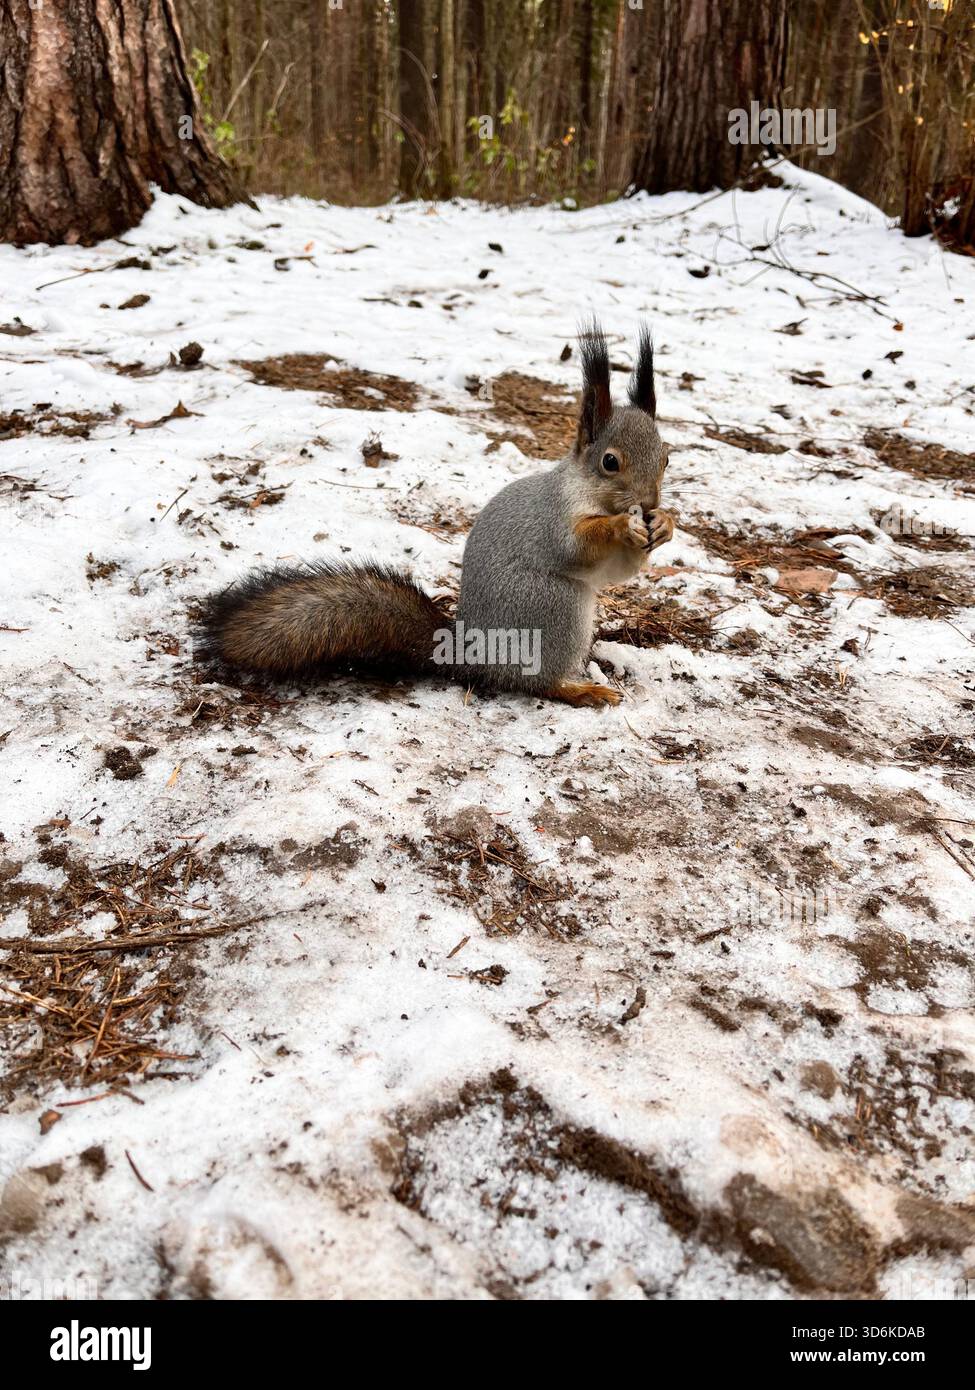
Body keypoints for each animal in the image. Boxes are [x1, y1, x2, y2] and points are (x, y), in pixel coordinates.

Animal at [199, 320, 674, 708]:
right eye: (609, 462)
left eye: (667, 457)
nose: (649, 505)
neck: (589, 493)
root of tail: (475, 655)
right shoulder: (554, 519)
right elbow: (579, 545)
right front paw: (621, 526)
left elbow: (619, 572)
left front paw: (665, 526)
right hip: (553, 607)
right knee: (535, 683)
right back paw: (581, 689)